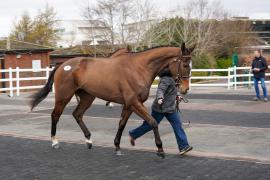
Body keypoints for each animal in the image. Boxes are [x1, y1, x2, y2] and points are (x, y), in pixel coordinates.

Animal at [30, 43, 193, 158]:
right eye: (185, 65)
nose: (185, 89)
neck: (138, 68)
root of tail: (62, 65)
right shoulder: (134, 102)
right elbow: (152, 121)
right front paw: (160, 149)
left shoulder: (129, 104)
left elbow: (122, 124)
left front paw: (117, 146)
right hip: (63, 96)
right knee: (55, 115)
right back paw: (54, 141)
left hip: (87, 97)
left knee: (77, 114)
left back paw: (89, 141)